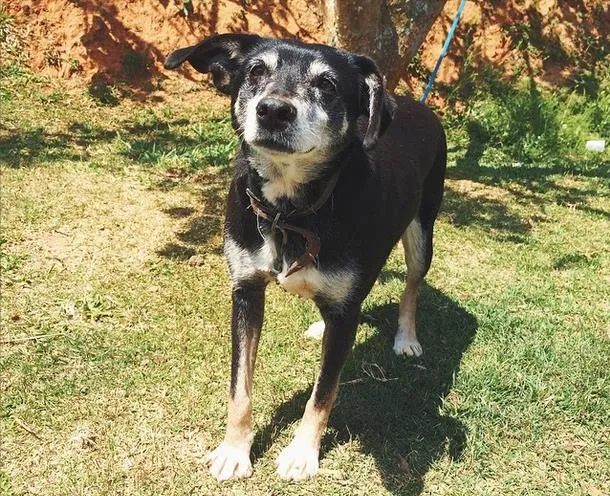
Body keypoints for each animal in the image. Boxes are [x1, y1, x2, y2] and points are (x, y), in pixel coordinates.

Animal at [164, 34, 444, 480]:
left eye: (327, 84)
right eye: (256, 70)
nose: (274, 110)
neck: (292, 210)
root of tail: (419, 105)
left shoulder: (346, 313)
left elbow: (323, 393)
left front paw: (301, 454)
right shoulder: (246, 291)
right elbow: (240, 386)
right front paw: (234, 451)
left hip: (422, 232)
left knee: (412, 287)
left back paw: (406, 337)